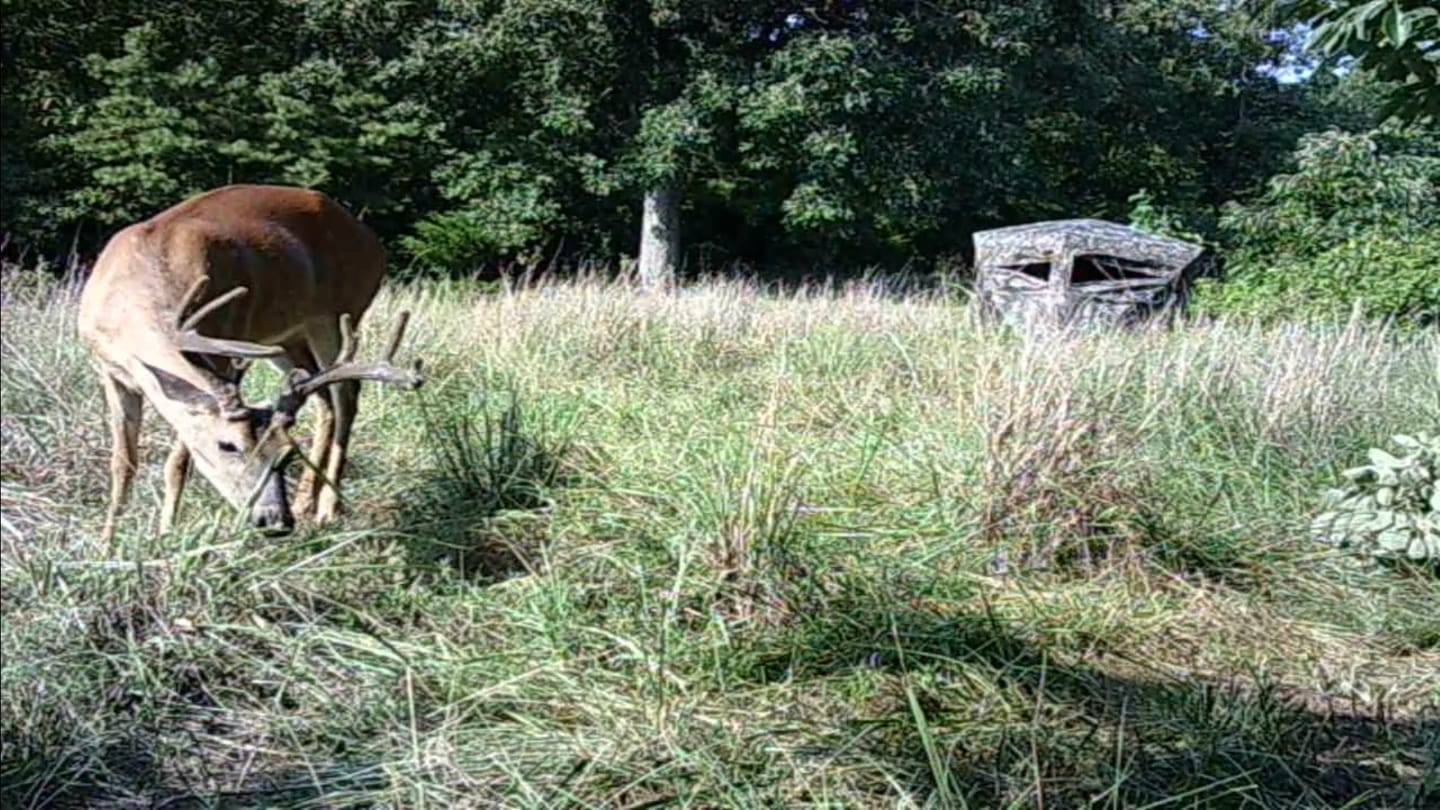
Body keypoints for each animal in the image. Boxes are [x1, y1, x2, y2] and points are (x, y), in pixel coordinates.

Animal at [76, 184, 424, 546]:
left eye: (286, 453)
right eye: (228, 446)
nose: (275, 520)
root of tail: (372, 240)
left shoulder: (224, 349)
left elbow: (178, 462)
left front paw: (166, 536)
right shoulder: (110, 370)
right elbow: (123, 462)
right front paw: (107, 543)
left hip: (338, 314)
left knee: (347, 391)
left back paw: (329, 508)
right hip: (288, 338)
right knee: (324, 397)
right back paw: (305, 503)